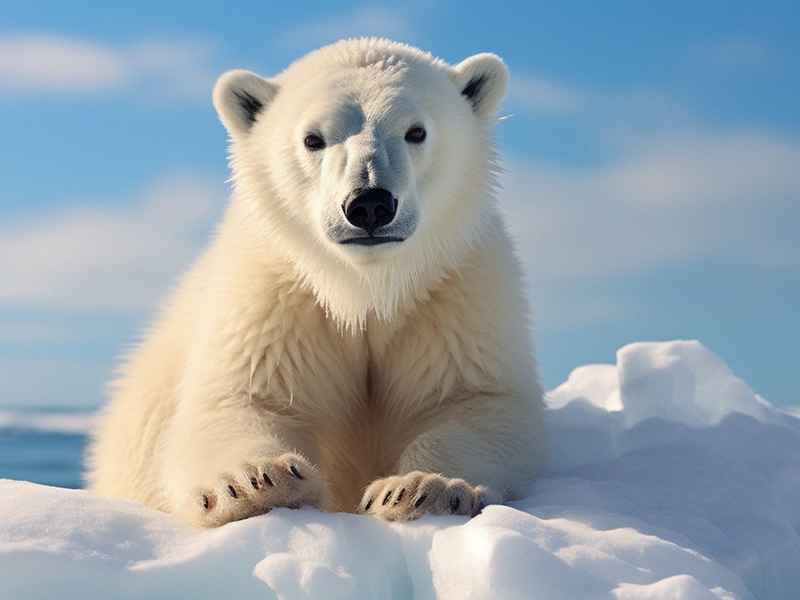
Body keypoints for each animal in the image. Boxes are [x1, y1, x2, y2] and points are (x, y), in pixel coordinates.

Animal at [85, 38, 546, 527]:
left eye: (416, 131)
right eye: (313, 139)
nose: (369, 203)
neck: (365, 287)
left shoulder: (454, 291)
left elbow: (474, 398)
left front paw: (424, 488)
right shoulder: (275, 298)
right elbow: (242, 397)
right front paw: (255, 481)